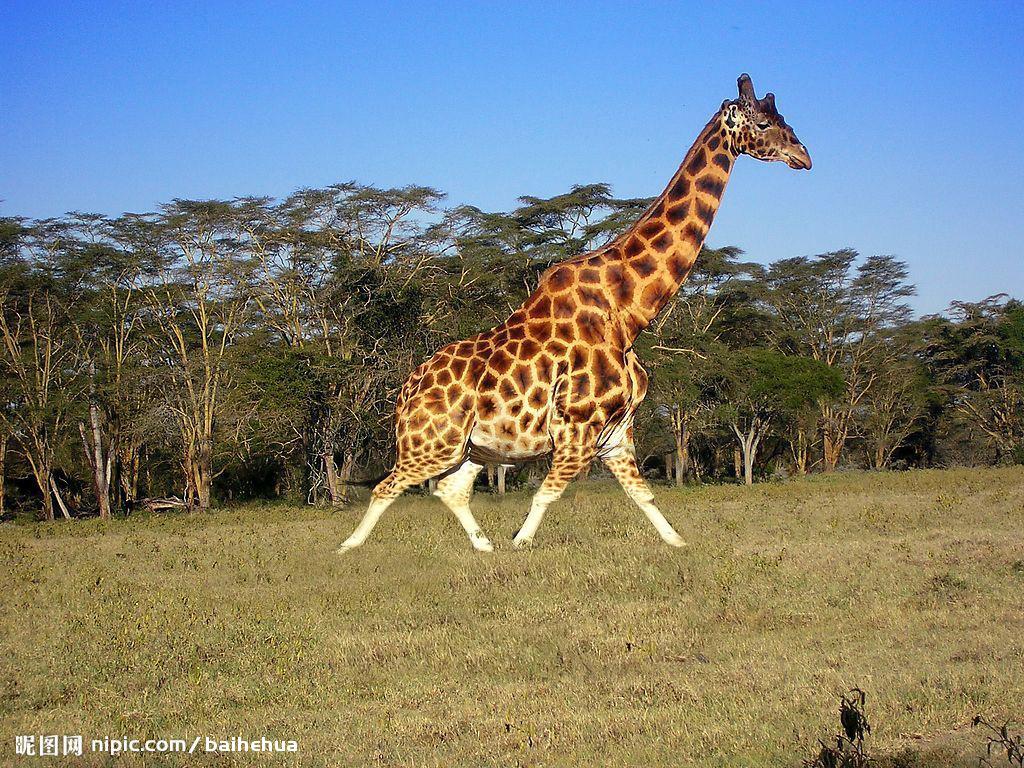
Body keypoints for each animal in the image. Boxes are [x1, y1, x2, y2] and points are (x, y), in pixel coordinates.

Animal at [339, 73, 811, 552]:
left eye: (784, 119)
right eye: (761, 123)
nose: (803, 156)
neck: (627, 313)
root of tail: (405, 391)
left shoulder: (616, 432)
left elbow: (644, 494)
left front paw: (678, 544)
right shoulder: (578, 426)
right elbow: (547, 494)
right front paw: (519, 544)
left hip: (473, 447)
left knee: (450, 489)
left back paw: (483, 547)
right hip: (433, 441)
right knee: (387, 487)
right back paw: (349, 548)